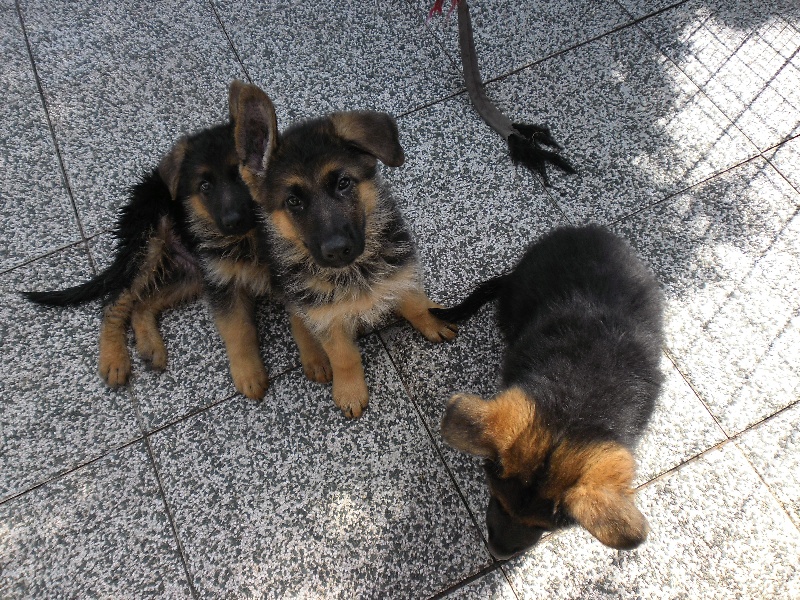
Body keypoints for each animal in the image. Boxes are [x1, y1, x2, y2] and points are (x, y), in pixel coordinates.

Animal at [24, 83, 272, 398]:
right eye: (205, 187)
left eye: (241, 177)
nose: (233, 222)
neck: (250, 238)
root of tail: (151, 181)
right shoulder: (222, 283)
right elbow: (238, 330)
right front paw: (249, 374)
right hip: (148, 244)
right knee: (115, 300)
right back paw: (114, 359)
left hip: (191, 270)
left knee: (143, 303)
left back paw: (150, 346)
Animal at [230, 82, 456, 420]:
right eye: (293, 201)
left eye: (343, 183)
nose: (337, 251)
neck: (354, 271)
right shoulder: (328, 319)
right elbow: (343, 356)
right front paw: (350, 391)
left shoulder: (400, 273)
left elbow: (416, 303)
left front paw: (434, 320)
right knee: (297, 317)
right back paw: (314, 355)